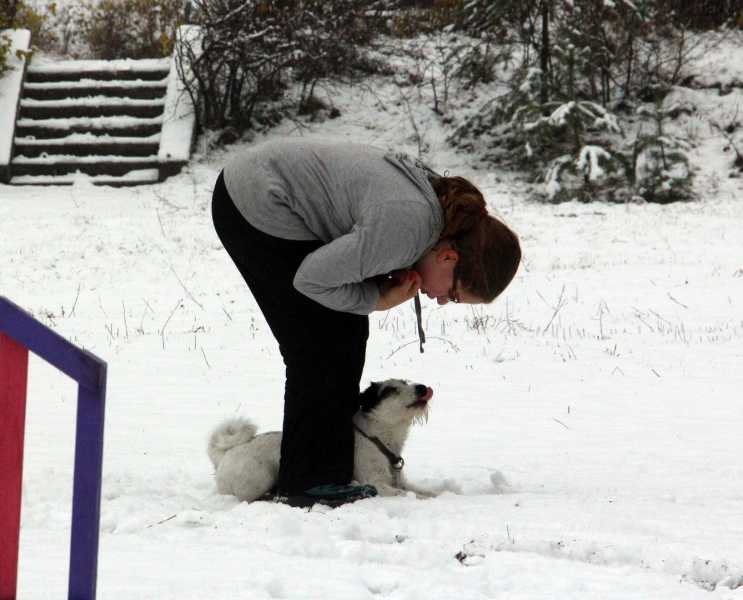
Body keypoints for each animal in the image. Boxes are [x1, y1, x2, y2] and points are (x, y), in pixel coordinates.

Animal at [207, 379, 433, 502]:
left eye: (405, 382)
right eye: (390, 390)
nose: (422, 388)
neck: (377, 439)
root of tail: (225, 455)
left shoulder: (400, 482)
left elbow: (421, 490)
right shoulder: (376, 483)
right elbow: (409, 495)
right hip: (257, 480)